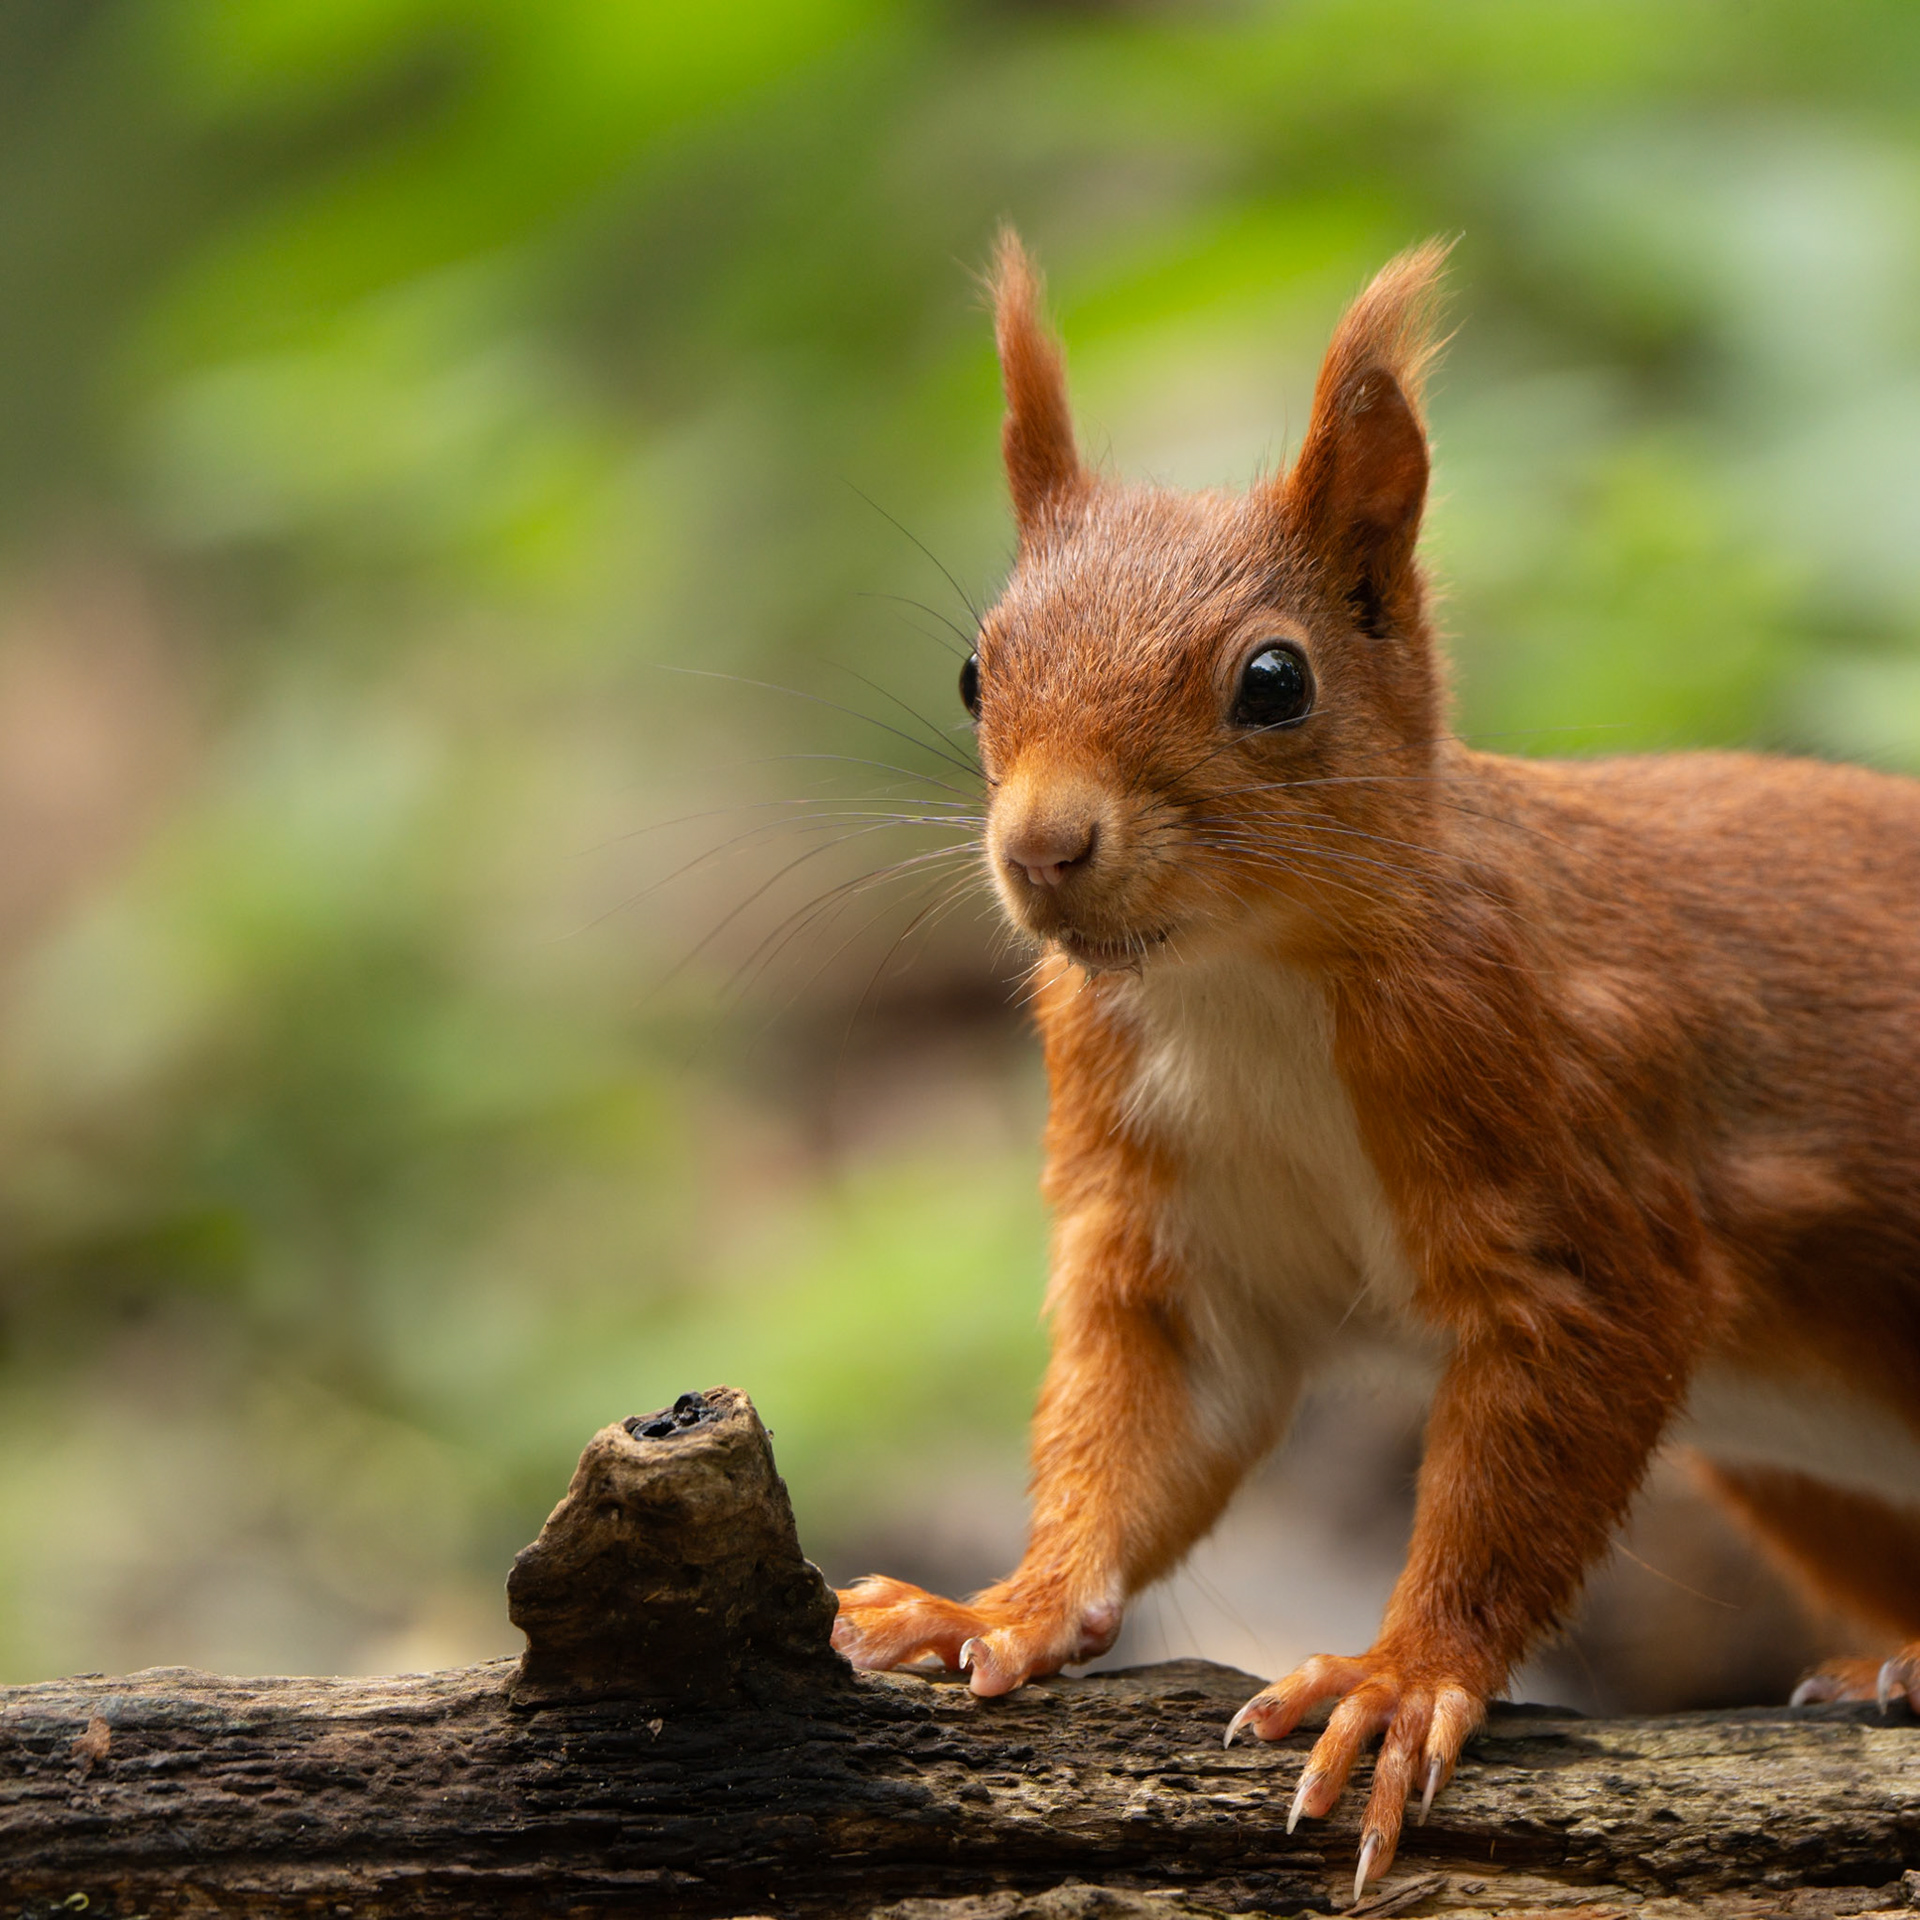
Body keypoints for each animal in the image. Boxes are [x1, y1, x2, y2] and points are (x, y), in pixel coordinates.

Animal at [829, 231, 1920, 1898]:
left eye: (1275, 681)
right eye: (972, 670)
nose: (1044, 846)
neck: (1244, 985)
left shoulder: (1564, 1149)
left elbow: (1542, 1425)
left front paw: (1400, 1679)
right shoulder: (1180, 1235)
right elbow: (1148, 1426)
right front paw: (1000, 1608)